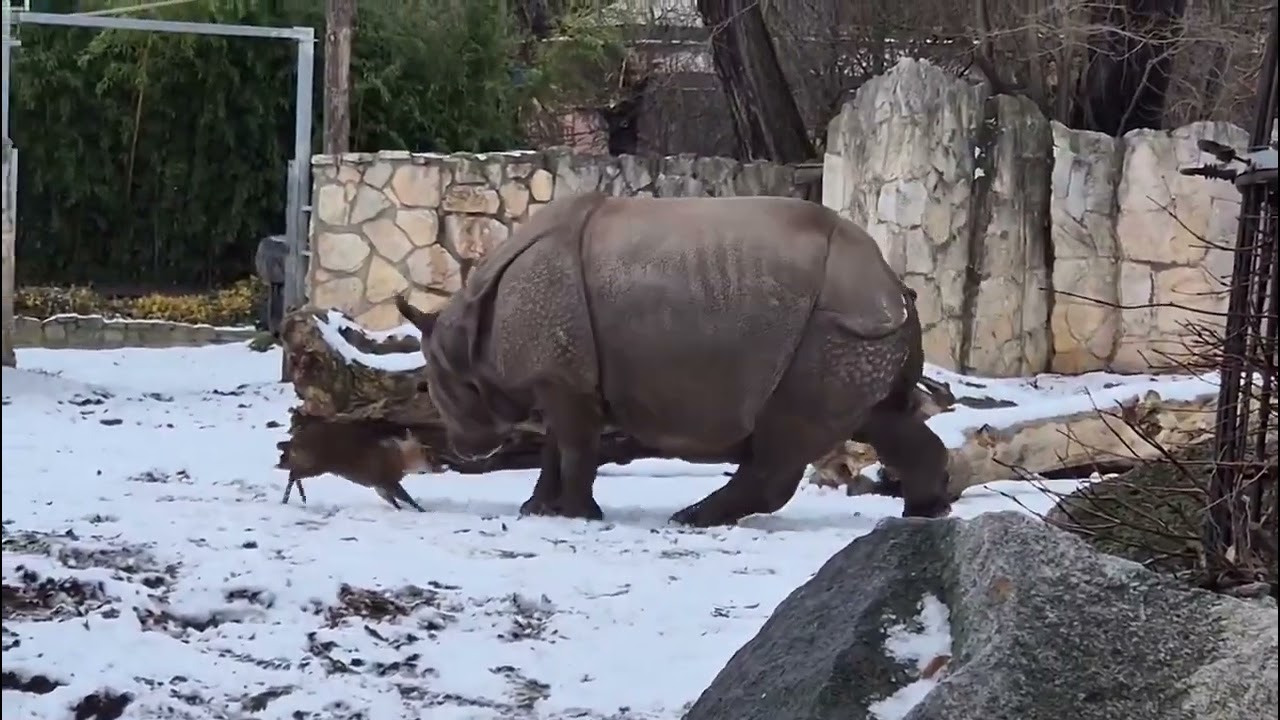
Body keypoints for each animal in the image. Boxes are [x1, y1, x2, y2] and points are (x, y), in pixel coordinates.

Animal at [395, 192, 950, 527]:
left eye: (434, 387)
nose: (465, 450)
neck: (469, 328)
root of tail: (891, 282)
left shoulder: (563, 377)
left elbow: (574, 447)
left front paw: (578, 516)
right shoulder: (563, 376)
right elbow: (557, 444)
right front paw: (537, 511)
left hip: (831, 327)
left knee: (786, 435)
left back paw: (689, 518)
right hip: (865, 333)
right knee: (881, 417)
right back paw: (924, 514)